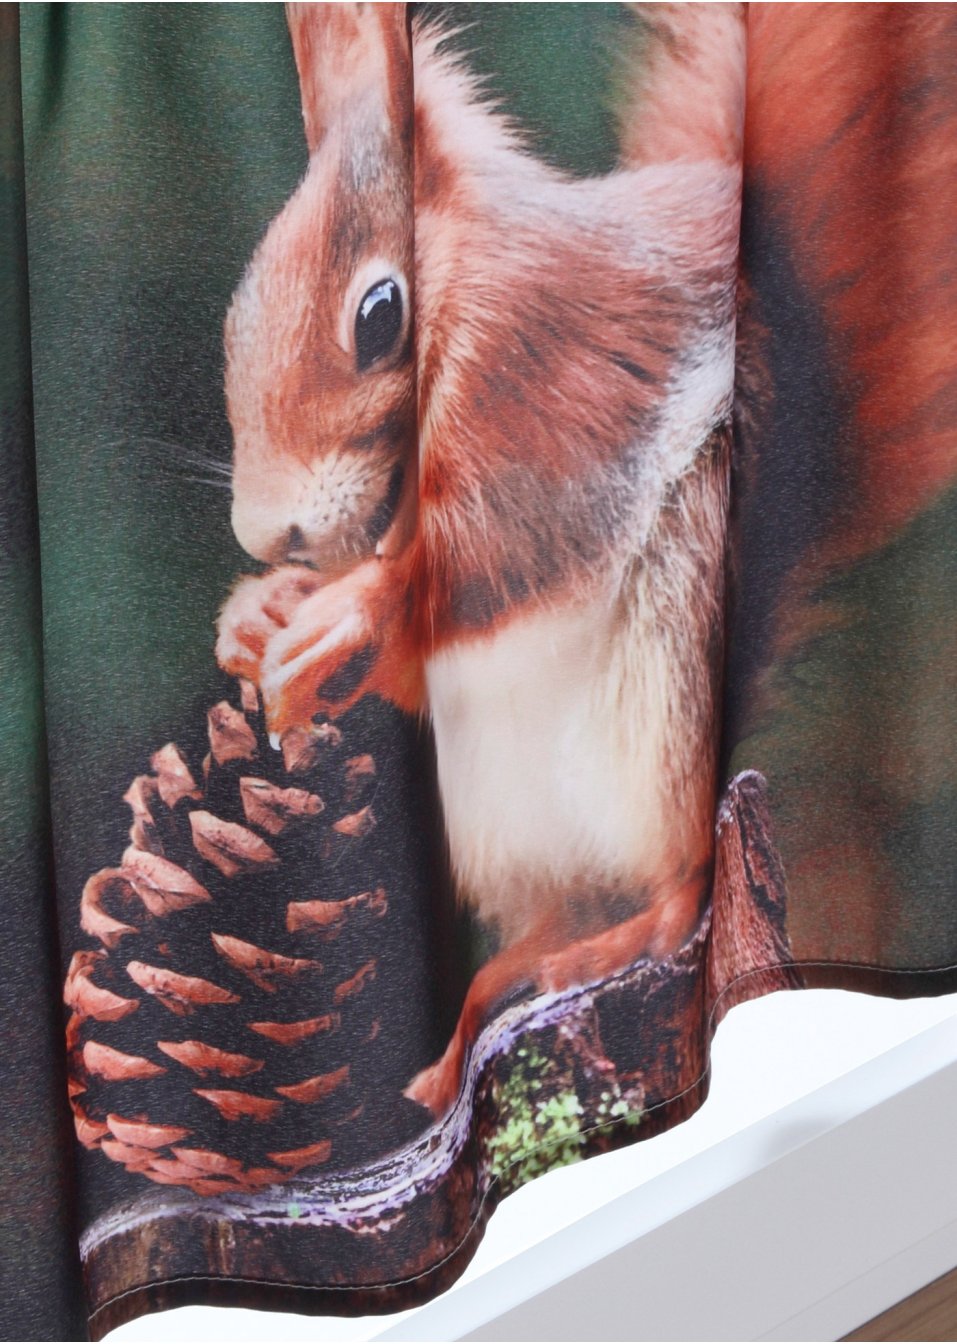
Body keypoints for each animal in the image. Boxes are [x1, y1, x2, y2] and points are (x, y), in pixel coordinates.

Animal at [216, 2, 957, 1119]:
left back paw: (637, 930)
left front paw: (347, 608)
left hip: (667, 684)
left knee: (675, 878)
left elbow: (501, 550)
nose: (266, 536)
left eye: (379, 315)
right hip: (492, 809)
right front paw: (261, 612)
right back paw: (473, 1018)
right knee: (555, 911)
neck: (468, 280)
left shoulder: (553, 380)